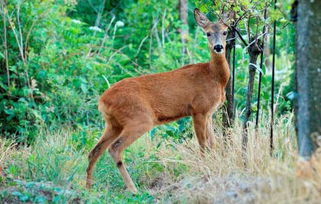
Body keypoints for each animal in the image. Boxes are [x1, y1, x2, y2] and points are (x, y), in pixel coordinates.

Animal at [85, 8, 230, 193]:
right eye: (208, 33)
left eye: (225, 31)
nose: (218, 47)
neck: (215, 77)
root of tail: (102, 101)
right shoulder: (198, 109)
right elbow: (203, 145)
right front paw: (204, 170)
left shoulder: (209, 113)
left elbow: (213, 144)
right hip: (140, 118)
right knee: (115, 148)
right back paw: (133, 189)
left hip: (113, 123)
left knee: (95, 151)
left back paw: (88, 187)